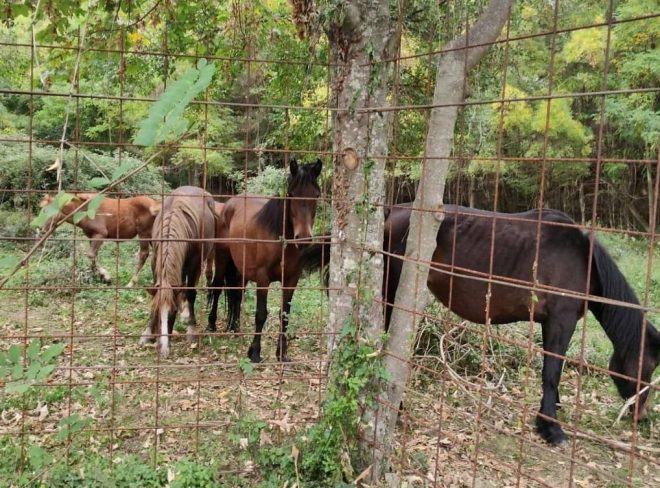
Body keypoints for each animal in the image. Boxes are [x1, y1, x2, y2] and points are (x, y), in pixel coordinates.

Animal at [139, 186, 219, 356]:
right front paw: (148, 332)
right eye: (157, 312)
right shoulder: (155, 262)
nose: (163, 349)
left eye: (173, 312)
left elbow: (190, 294)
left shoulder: (194, 265)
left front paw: (191, 330)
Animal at [207, 159, 323, 363]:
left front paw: (282, 354)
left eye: (316, 195)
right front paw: (254, 353)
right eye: (291, 194)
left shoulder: (291, 280)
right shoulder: (263, 278)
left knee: (237, 293)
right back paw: (211, 325)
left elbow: (285, 315)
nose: (303, 238)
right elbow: (261, 314)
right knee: (218, 287)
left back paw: (235, 327)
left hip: (241, 268)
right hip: (222, 258)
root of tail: (228, 205)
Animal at [382, 204, 659, 445]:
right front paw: (550, 428)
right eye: (649, 366)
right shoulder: (561, 321)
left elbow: (553, 369)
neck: (584, 260)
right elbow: (551, 371)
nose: (642, 415)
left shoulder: (550, 323)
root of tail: (394, 211)